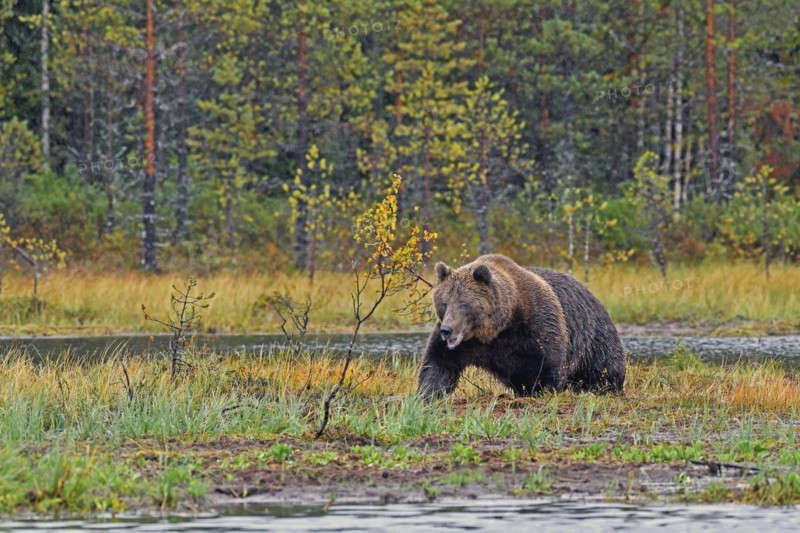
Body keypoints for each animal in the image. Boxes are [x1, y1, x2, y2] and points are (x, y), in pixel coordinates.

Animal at [417, 253, 625, 398]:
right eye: (444, 303)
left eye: (464, 304)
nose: (447, 330)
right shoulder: (464, 346)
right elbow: (438, 365)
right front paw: (427, 394)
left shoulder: (534, 327)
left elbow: (545, 366)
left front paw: (541, 391)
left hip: (593, 337)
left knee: (604, 368)